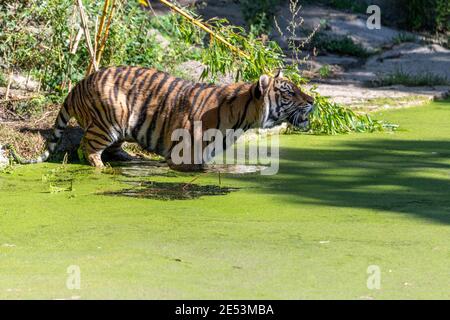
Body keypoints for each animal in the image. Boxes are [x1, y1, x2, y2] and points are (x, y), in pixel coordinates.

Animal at [8, 65, 314, 170]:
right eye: (289, 92)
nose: (312, 101)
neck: (241, 118)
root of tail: (77, 85)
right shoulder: (187, 156)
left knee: (114, 149)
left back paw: (132, 159)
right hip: (110, 120)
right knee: (87, 149)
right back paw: (102, 168)